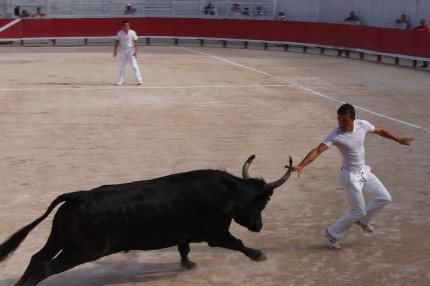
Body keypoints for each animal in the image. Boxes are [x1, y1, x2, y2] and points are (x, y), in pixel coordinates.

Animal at [0, 155, 292, 284]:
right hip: (82, 251)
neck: (226, 192)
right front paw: (259, 255)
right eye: (264, 202)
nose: (259, 227)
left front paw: (189, 266)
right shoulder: (217, 234)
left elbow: (184, 249)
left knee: (36, 258)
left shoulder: (185, 233)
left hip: (58, 239)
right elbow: (238, 244)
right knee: (45, 267)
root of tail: (78, 196)